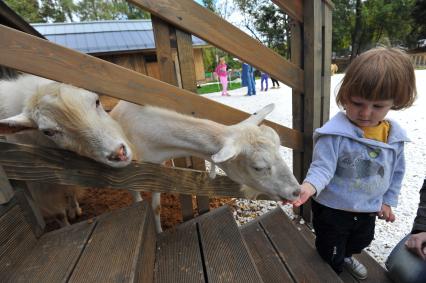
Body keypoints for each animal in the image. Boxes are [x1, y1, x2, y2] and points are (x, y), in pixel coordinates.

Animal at [0, 75, 133, 226]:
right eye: (48, 132)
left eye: (97, 101)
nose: (119, 153)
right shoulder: (43, 191)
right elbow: (59, 214)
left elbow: (70, 192)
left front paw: (74, 209)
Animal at [111, 101, 302, 233]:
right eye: (258, 167)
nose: (296, 191)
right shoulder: (130, 170)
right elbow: (139, 201)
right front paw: (157, 232)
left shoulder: (156, 167)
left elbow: (156, 207)